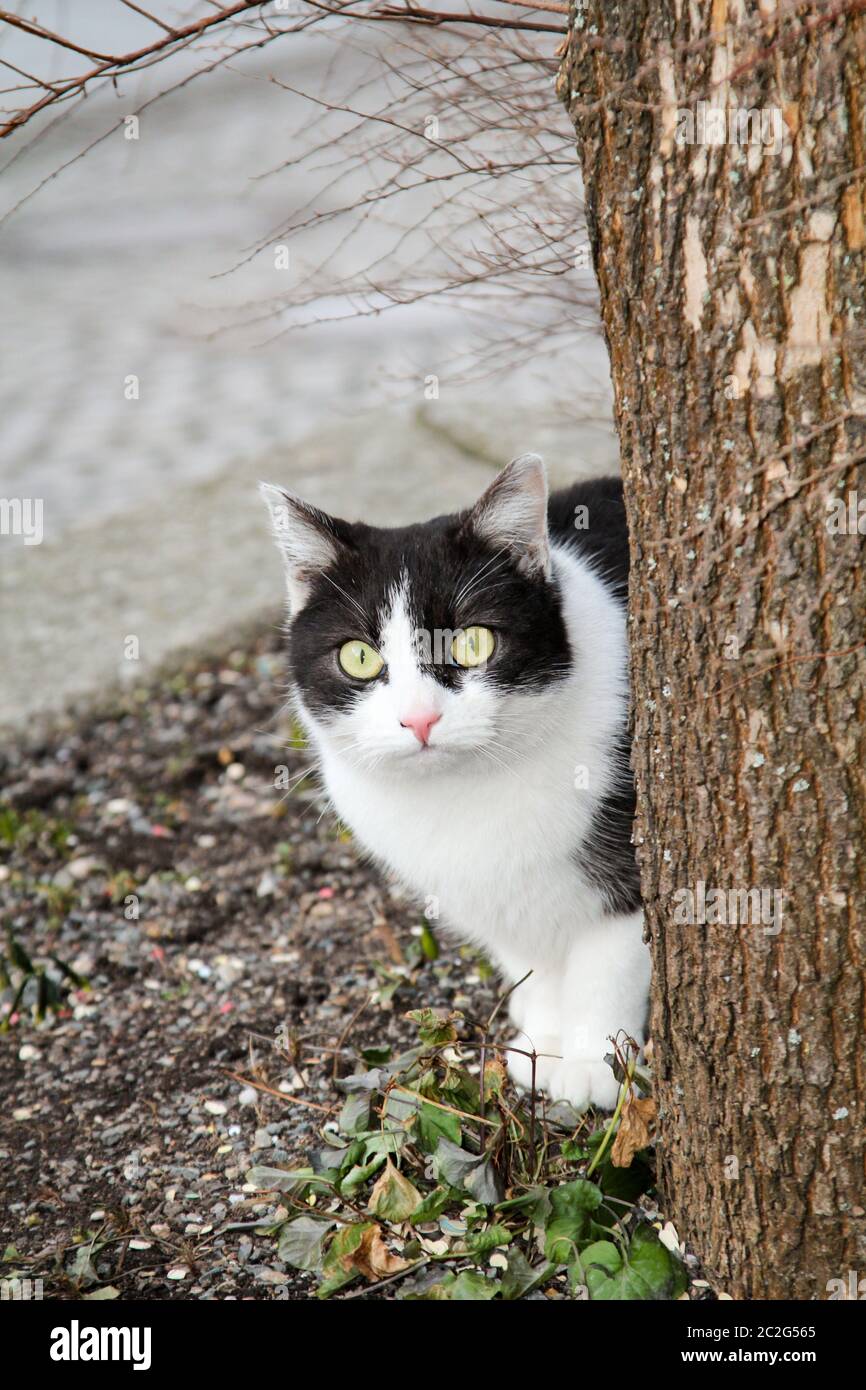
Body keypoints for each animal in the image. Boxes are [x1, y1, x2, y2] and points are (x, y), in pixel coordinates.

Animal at [264, 455, 650, 1106]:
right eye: (359, 657)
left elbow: (608, 963)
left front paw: (595, 1065)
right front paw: (545, 1039)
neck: (463, 793)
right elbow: (532, 957)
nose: (419, 718)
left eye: (473, 642)